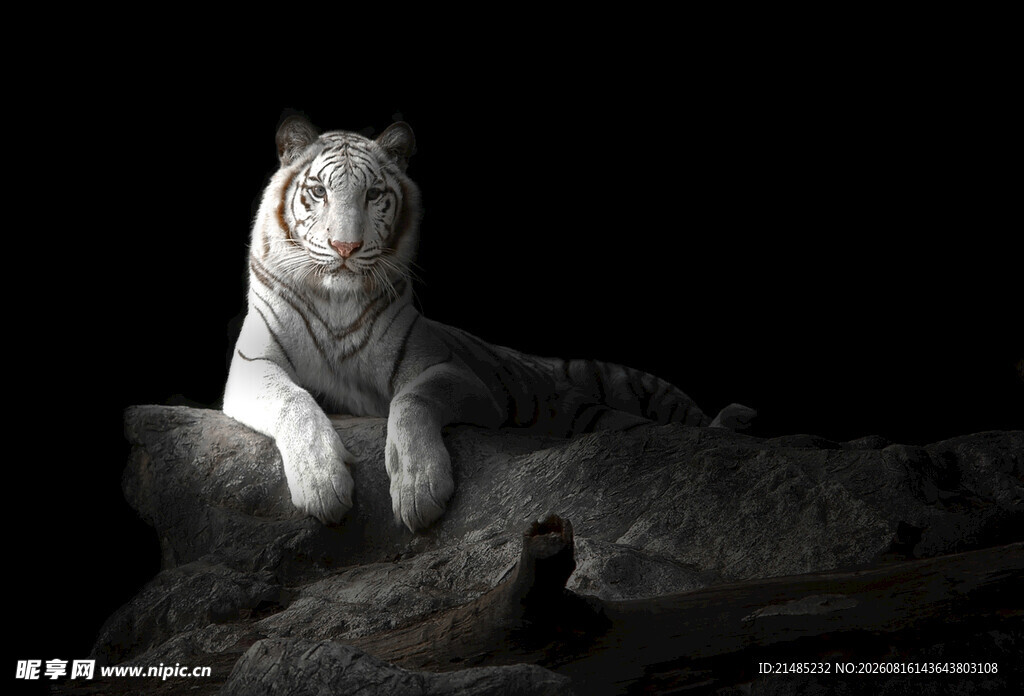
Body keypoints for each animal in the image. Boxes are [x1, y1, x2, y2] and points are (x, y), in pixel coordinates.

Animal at [222, 115, 755, 533]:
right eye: (317, 191)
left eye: (373, 194)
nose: (346, 248)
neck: (336, 299)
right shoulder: (251, 366)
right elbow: (294, 401)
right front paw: (322, 483)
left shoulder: (452, 372)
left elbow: (412, 400)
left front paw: (419, 487)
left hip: (634, 393)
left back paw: (735, 421)